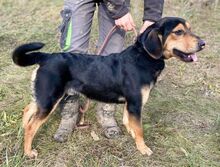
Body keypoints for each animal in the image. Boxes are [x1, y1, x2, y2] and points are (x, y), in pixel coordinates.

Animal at [12, 17, 205, 158]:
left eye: (189, 29)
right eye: (178, 32)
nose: (203, 43)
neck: (143, 57)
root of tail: (45, 56)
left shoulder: (130, 104)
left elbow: (129, 122)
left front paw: (132, 136)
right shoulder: (135, 103)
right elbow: (140, 129)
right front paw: (143, 148)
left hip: (43, 97)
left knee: (27, 110)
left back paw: (21, 130)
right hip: (50, 99)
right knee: (32, 126)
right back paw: (28, 152)